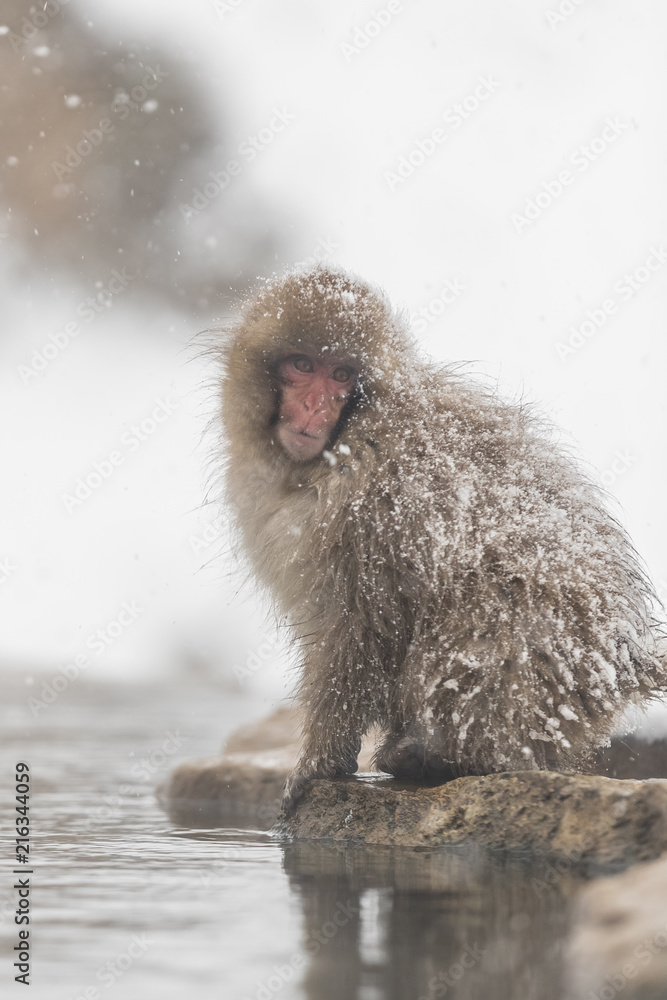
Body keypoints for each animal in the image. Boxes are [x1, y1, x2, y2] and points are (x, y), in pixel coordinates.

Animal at [217, 264, 664, 812]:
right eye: (302, 365)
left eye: (341, 376)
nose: (315, 405)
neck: (341, 442)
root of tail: (624, 665)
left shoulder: (374, 503)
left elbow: (363, 625)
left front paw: (320, 761)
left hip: (541, 666)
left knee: (488, 608)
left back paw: (447, 758)